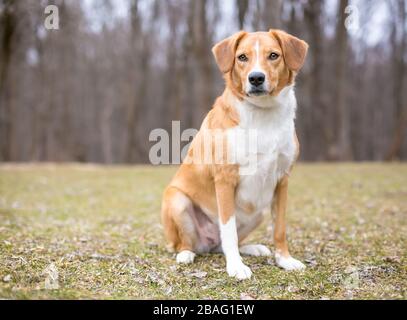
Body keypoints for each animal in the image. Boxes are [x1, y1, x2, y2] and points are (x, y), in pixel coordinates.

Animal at [161, 30, 308, 280]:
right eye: (242, 57)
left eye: (273, 55)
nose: (256, 78)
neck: (263, 114)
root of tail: (208, 243)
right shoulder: (225, 179)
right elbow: (228, 230)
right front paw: (236, 267)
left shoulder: (282, 180)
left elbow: (279, 228)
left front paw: (284, 260)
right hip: (177, 200)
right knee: (191, 243)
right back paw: (186, 254)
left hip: (258, 211)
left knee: (226, 243)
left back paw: (252, 248)